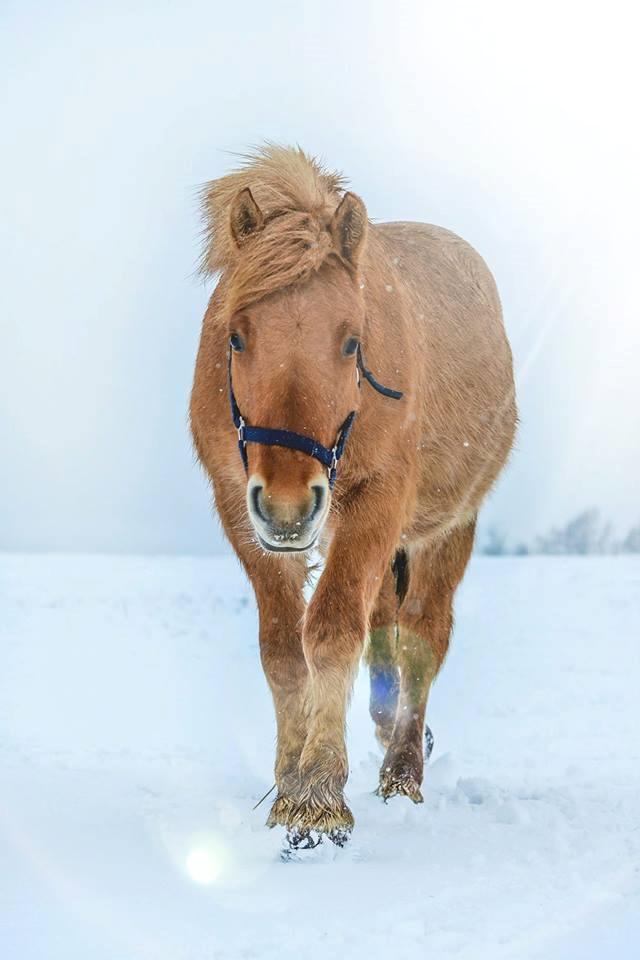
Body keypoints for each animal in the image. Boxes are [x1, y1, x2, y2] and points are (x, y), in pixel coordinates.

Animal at [189, 142, 516, 848]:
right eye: (236, 336)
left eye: (351, 341)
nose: (289, 502)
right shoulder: (242, 512)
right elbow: (284, 649)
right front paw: (289, 780)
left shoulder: (378, 501)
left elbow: (334, 629)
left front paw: (317, 795)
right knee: (386, 634)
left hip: (448, 528)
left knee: (421, 637)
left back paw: (403, 770)